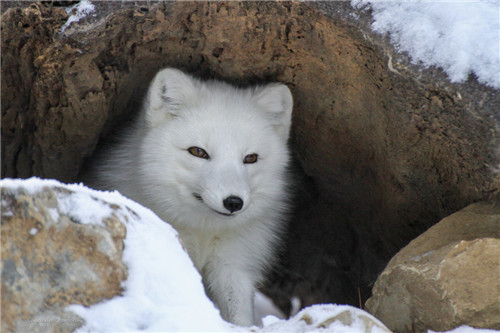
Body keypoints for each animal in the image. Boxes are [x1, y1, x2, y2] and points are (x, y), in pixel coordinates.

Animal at [84, 68, 292, 326]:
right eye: (198, 152)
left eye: (250, 158)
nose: (233, 202)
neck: (203, 231)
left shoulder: (233, 264)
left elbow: (239, 314)